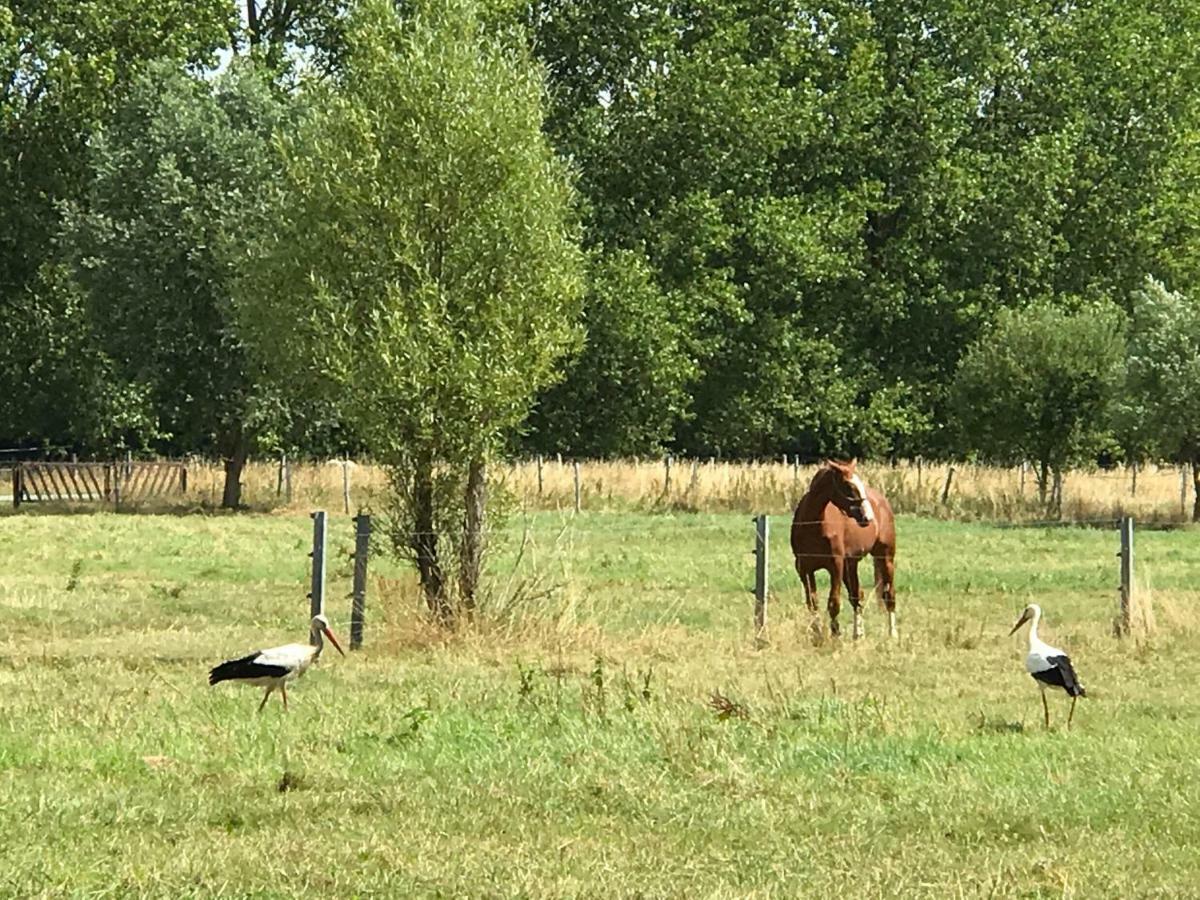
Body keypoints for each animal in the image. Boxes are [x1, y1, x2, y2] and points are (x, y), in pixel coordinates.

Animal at [792, 465, 897, 643]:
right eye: (848, 486)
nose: (868, 517)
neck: (813, 524)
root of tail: (883, 501)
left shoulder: (836, 565)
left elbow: (834, 603)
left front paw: (835, 636)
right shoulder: (804, 569)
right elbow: (812, 603)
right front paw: (817, 635)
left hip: (885, 558)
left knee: (889, 595)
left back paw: (893, 634)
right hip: (851, 565)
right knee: (857, 596)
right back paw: (858, 635)